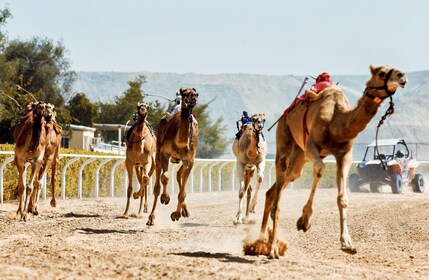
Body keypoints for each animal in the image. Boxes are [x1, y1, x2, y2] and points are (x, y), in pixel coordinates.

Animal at [147, 87, 199, 225]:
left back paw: (184, 211)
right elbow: (165, 177)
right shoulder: (164, 153)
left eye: (196, 94)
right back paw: (151, 218)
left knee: (179, 174)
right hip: (158, 151)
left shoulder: (189, 160)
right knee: (157, 186)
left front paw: (176, 215)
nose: (193, 99)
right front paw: (165, 198)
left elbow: (183, 193)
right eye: (185, 93)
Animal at [246, 65, 406, 258]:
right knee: (279, 189)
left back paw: (261, 242)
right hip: (285, 136)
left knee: (278, 187)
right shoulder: (311, 146)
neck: (336, 122)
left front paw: (347, 244)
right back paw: (272, 249)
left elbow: (342, 197)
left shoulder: (344, 155)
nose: (402, 76)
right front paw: (304, 220)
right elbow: (320, 169)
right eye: (381, 73)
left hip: (299, 157)